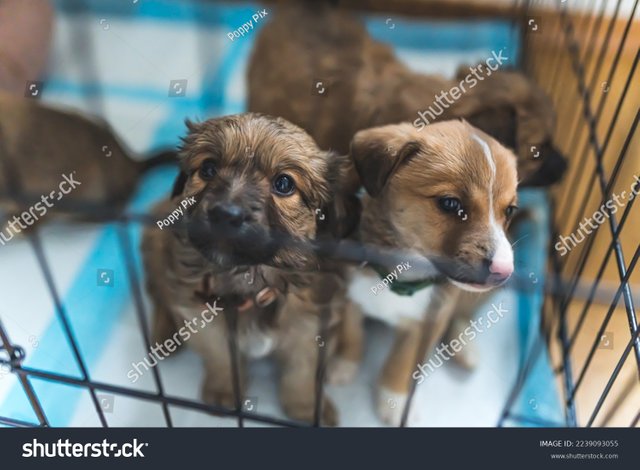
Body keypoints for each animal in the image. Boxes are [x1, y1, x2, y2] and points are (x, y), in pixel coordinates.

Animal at [141, 114, 360, 426]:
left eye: (284, 183)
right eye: (208, 168)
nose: (225, 214)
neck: (251, 277)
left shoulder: (312, 324)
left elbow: (302, 371)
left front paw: (306, 407)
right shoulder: (201, 317)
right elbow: (221, 358)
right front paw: (224, 390)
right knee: (160, 293)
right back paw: (162, 334)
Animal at [344, 119, 520, 424]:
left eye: (509, 210)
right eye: (450, 203)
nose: (503, 270)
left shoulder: (426, 322)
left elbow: (403, 362)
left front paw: (395, 400)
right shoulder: (346, 291)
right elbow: (350, 331)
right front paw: (341, 363)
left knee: (463, 315)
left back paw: (464, 348)